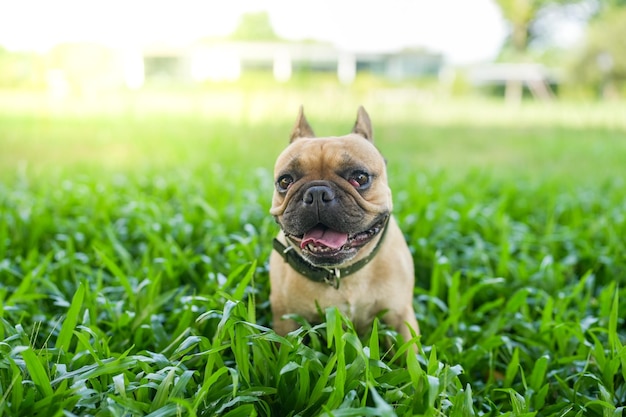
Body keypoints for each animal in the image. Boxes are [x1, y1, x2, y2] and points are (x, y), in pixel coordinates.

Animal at [266, 105, 416, 342]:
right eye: (285, 181)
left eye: (360, 178)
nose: (317, 193)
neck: (339, 272)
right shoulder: (286, 321)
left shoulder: (400, 317)